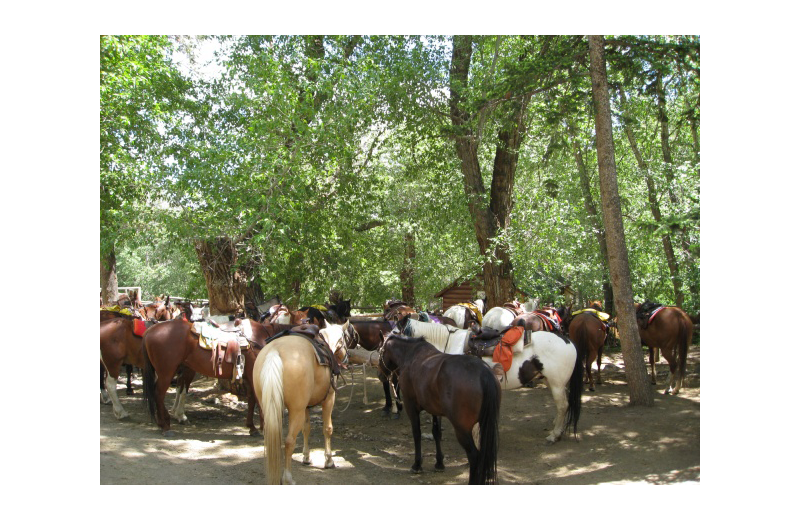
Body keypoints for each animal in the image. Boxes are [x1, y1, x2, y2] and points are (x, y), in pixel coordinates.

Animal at [252, 318, 348, 486]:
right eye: (344, 340)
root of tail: (274, 351)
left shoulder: (306, 406)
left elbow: (306, 428)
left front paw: (306, 457)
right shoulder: (329, 399)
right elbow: (327, 429)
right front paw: (329, 461)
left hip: (270, 407)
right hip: (296, 410)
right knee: (289, 441)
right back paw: (287, 478)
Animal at [376, 336, 500, 486]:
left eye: (380, 351)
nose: (379, 375)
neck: (410, 355)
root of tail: (484, 373)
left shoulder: (410, 406)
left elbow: (417, 433)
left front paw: (417, 465)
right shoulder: (434, 409)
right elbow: (436, 434)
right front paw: (439, 463)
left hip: (462, 430)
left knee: (474, 456)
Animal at [396, 318, 584, 444]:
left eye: (395, 332)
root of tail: (568, 341)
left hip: (557, 384)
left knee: (563, 405)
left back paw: (554, 435)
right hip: (550, 381)